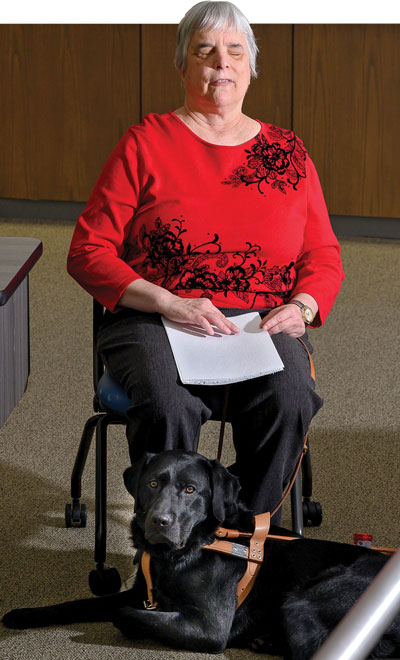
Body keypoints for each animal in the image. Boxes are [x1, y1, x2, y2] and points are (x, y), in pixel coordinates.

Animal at [3, 452, 400, 656]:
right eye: (152, 483)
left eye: (191, 489)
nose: (159, 522)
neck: (180, 554)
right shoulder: (139, 593)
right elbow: (75, 604)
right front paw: (22, 615)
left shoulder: (210, 627)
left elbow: (123, 613)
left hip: (304, 604)